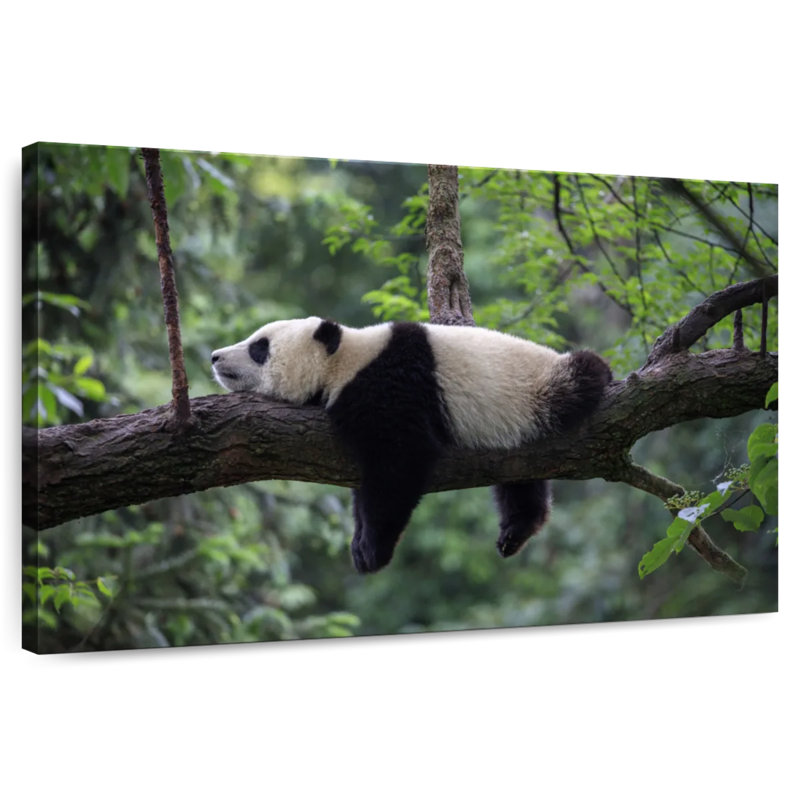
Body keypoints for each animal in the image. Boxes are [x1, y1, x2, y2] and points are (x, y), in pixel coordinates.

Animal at [211, 316, 611, 574]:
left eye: (259, 348)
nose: (215, 356)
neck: (345, 360)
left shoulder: (391, 386)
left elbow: (399, 463)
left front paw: (372, 551)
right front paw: (358, 542)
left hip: (541, 391)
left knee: (582, 376)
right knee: (521, 479)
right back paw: (517, 530)